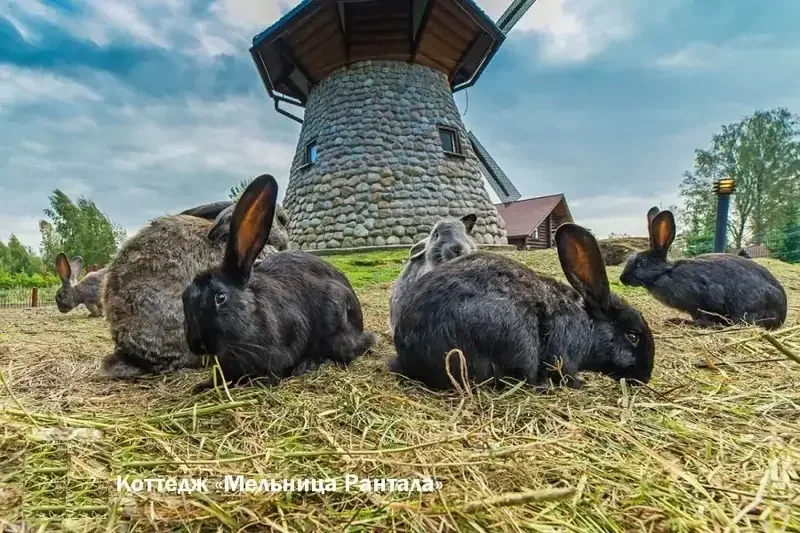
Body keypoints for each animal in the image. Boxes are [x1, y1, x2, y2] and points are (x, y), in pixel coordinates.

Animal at [183, 174, 376, 390]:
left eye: (221, 297)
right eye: (184, 297)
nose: (197, 345)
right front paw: (202, 386)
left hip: (336, 319)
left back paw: (308, 364)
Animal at [390, 220, 656, 390]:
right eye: (633, 335)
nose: (646, 377)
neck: (587, 324)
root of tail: (411, 358)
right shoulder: (564, 354)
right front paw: (580, 384)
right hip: (516, 343)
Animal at [620, 207, 788, 328]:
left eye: (642, 263)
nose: (622, 279)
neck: (666, 272)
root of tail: (782, 314)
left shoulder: (708, 300)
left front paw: (684, 322)